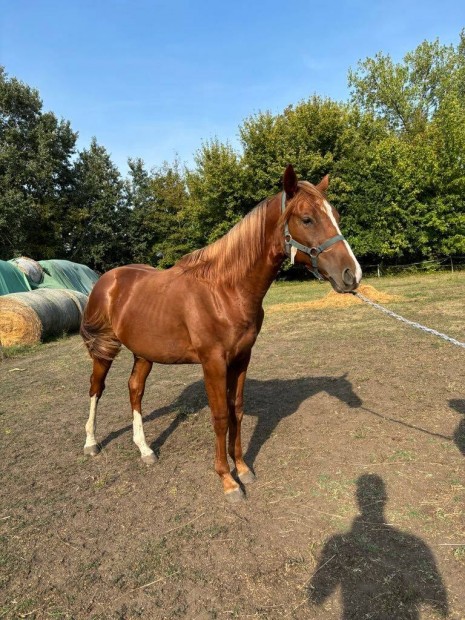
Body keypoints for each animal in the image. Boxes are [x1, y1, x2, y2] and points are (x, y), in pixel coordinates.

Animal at [80, 166, 362, 504]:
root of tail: (107, 279)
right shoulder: (213, 363)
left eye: (336, 215)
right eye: (307, 219)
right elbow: (220, 416)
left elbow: (236, 410)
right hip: (104, 349)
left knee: (135, 390)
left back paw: (145, 449)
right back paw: (91, 443)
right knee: (96, 388)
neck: (225, 290)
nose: (352, 275)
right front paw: (227, 481)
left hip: (143, 352)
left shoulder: (241, 358)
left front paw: (242, 468)